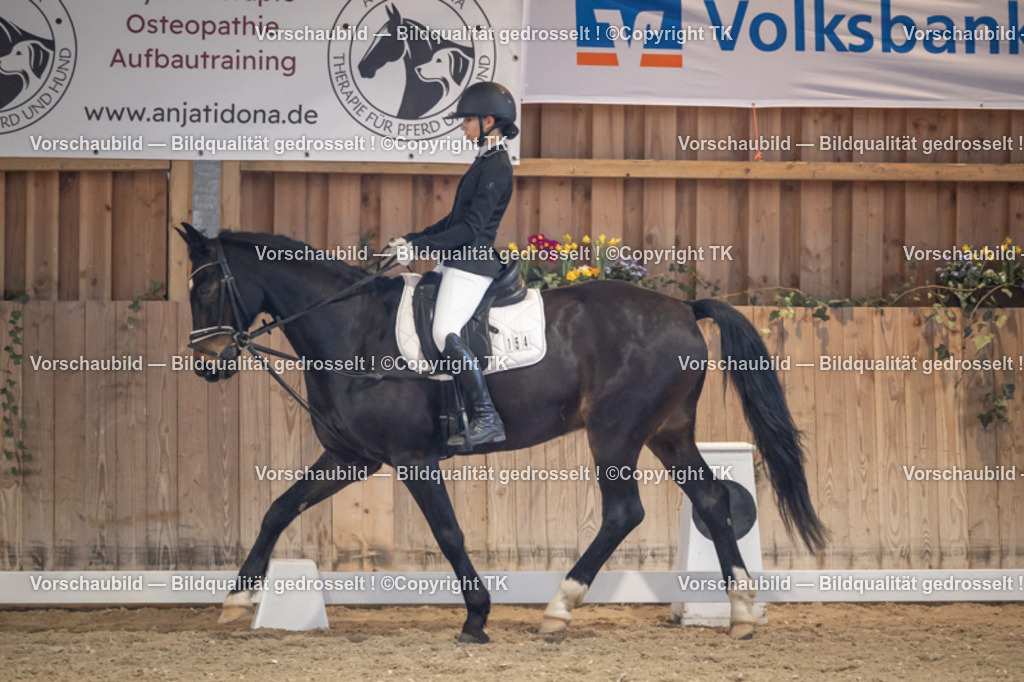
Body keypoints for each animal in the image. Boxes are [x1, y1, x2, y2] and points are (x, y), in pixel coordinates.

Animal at [177, 224, 827, 643]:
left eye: (205, 286)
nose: (206, 363)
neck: (353, 329)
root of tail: (683, 310)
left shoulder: (411, 459)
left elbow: (448, 532)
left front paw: (476, 616)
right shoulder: (349, 457)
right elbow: (278, 509)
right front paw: (237, 600)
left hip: (615, 432)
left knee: (625, 512)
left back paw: (560, 608)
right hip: (667, 432)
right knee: (713, 501)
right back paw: (740, 611)